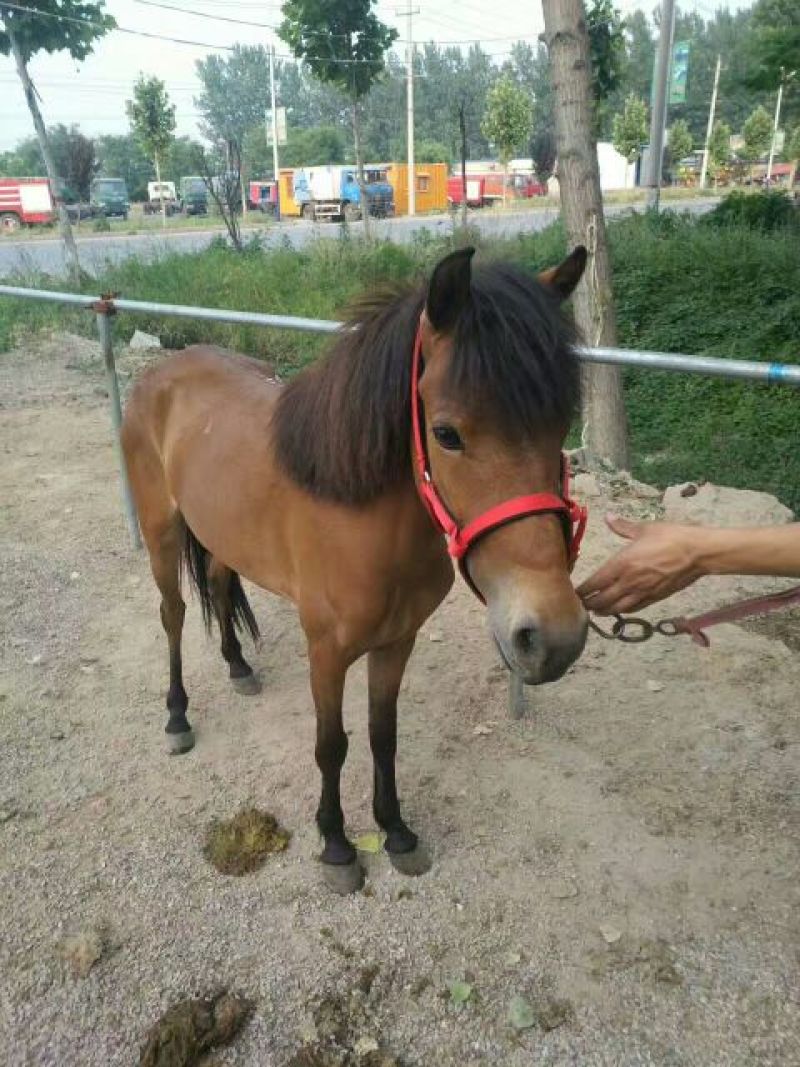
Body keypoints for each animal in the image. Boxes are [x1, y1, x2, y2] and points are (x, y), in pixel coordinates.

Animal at [121, 245, 590, 893]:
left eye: (561, 425)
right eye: (446, 433)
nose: (553, 636)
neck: (360, 515)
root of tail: (162, 372)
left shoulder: (397, 642)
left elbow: (382, 735)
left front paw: (396, 832)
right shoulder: (327, 651)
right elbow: (332, 744)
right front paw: (338, 845)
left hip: (218, 532)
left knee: (216, 583)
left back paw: (239, 667)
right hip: (162, 533)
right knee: (174, 613)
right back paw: (177, 717)